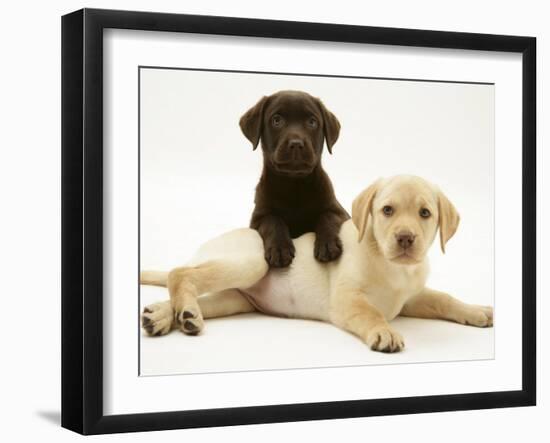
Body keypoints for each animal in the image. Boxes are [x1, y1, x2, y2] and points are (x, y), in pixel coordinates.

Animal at [142, 175, 496, 352]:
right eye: (387, 211)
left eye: (425, 213)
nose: (406, 238)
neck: (394, 268)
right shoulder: (347, 300)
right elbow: (370, 313)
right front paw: (384, 332)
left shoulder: (411, 297)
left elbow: (444, 299)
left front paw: (476, 311)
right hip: (251, 261)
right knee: (179, 273)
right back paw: (183, 312)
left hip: (234, 298)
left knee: (183, 293)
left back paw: (166, 316)